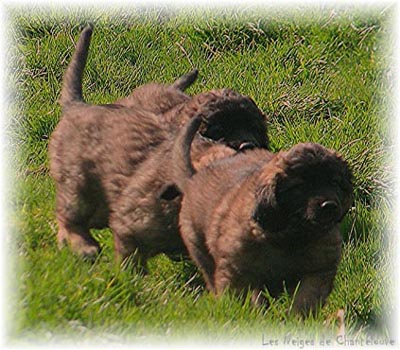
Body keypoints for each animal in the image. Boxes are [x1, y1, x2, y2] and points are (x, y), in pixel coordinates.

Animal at [49, 26, 268, 258]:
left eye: (255, 129)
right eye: (217, 131)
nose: (248, 145)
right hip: (80, 187)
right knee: (71, 213)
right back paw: (80, 245)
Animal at [170, 117, 352, 314]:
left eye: (334, 182)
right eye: (300, 187)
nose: (329, 206)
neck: (291, 239)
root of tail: (192, 179)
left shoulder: (319, 270)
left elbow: (306, 298)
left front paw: (296, 318)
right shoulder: (235, 270)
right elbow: (236, 298)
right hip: (200, 248)